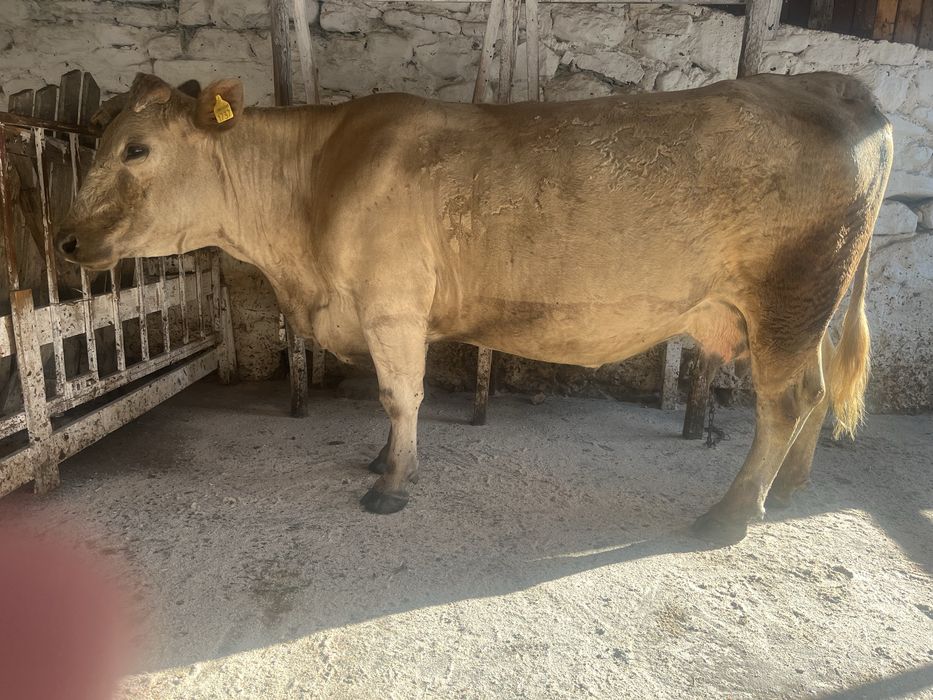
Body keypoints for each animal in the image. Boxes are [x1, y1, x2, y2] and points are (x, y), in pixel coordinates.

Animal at [56, 72, 892, 544]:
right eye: (100, 141)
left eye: (135, 149)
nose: (63, 239)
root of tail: (828, 84)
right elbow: (391, 403)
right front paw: (383, 459)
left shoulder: (392, 306)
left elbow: (400, 396)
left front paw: (391, 485)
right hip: (806, 306)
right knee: (819, 388)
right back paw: (789, 488)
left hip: (788, 294)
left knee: (788, 400)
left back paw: (732, 513)